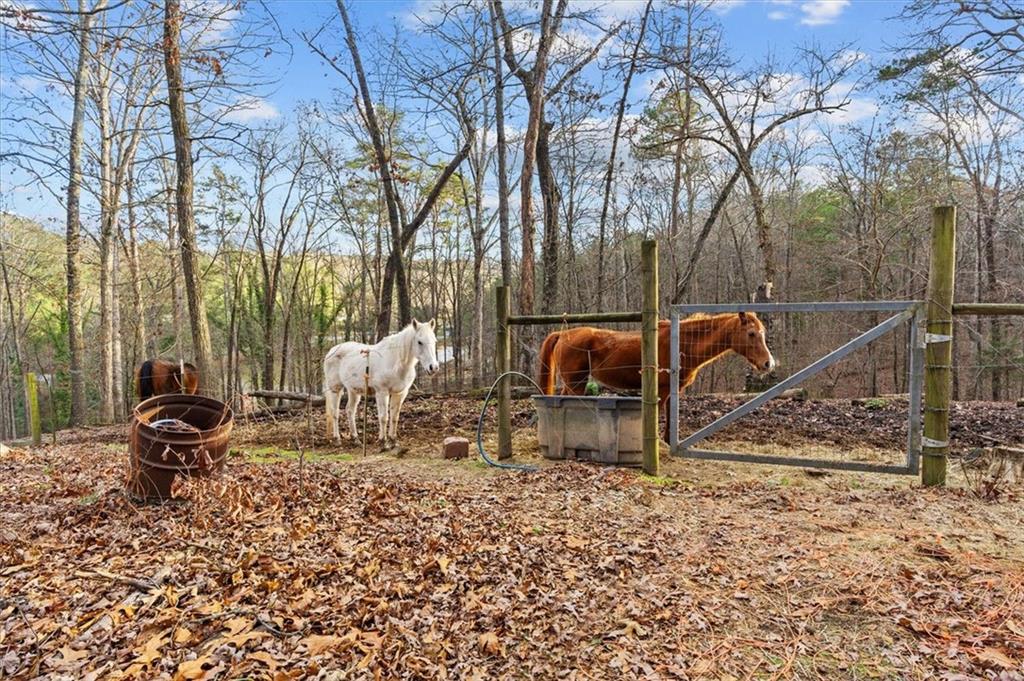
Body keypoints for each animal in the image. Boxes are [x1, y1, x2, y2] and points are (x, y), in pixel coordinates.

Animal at [540, 311, 770, 405]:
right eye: (751, 334)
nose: (769, 363)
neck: (682, 344)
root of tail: (562, 334)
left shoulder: (674, 391)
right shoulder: (662, 390)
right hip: (575, 383)